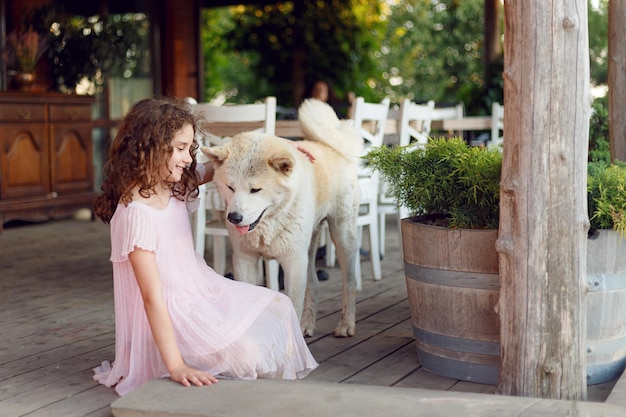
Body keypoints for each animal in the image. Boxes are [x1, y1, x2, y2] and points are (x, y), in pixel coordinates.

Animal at [202, 98, 360, 334]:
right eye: (230, 187)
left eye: (255, 190)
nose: (234, 218)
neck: (269, 224)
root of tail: (329, 146)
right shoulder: (245, 259)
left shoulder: (292, 263)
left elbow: (293, 304)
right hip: (308, 248)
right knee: (314, 284)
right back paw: (306, 325)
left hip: (342, 237)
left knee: (349, 283)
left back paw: (346, 325)